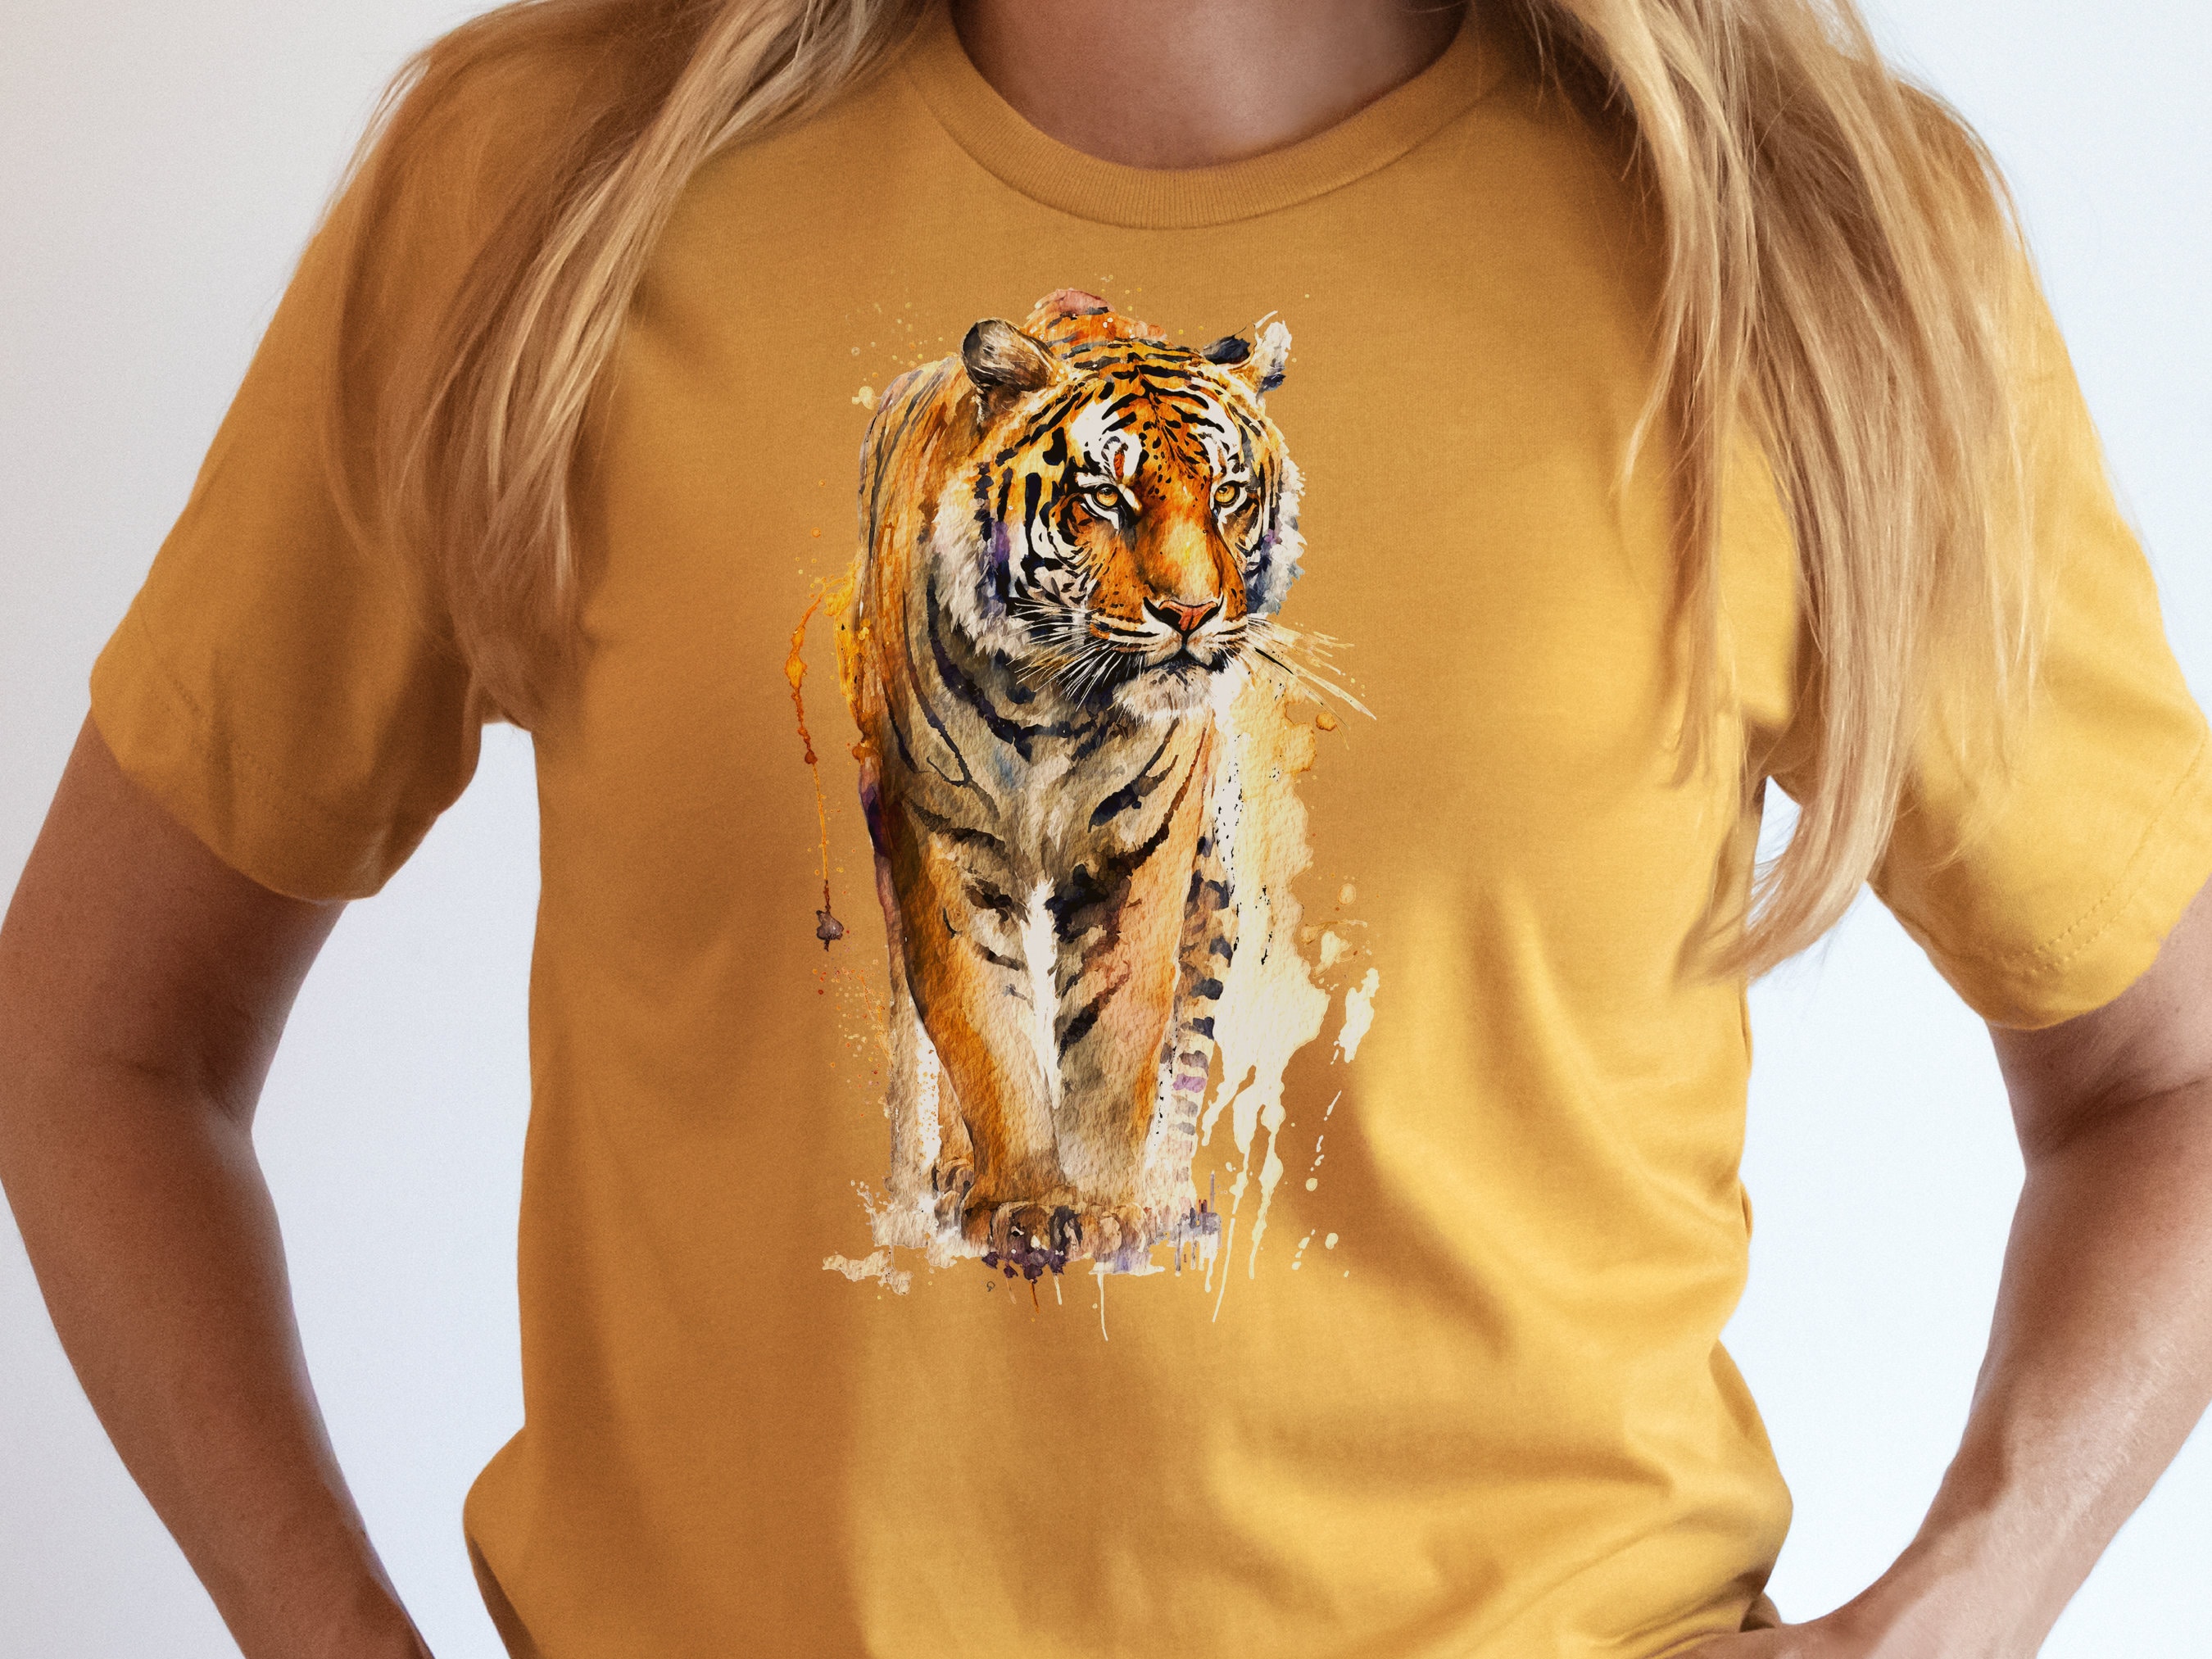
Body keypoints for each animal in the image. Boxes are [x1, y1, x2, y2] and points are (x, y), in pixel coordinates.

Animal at [833, 288, 1304, 1278]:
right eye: (1105, 498)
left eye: (1228, 495)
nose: (1193, 614)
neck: (1057, 704)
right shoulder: (943, 845)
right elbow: (985, 1028)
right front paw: (1026, 1204)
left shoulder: (1146, 852)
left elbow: (1121, 1033)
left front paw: (1106, 1208)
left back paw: (1161, 1197)